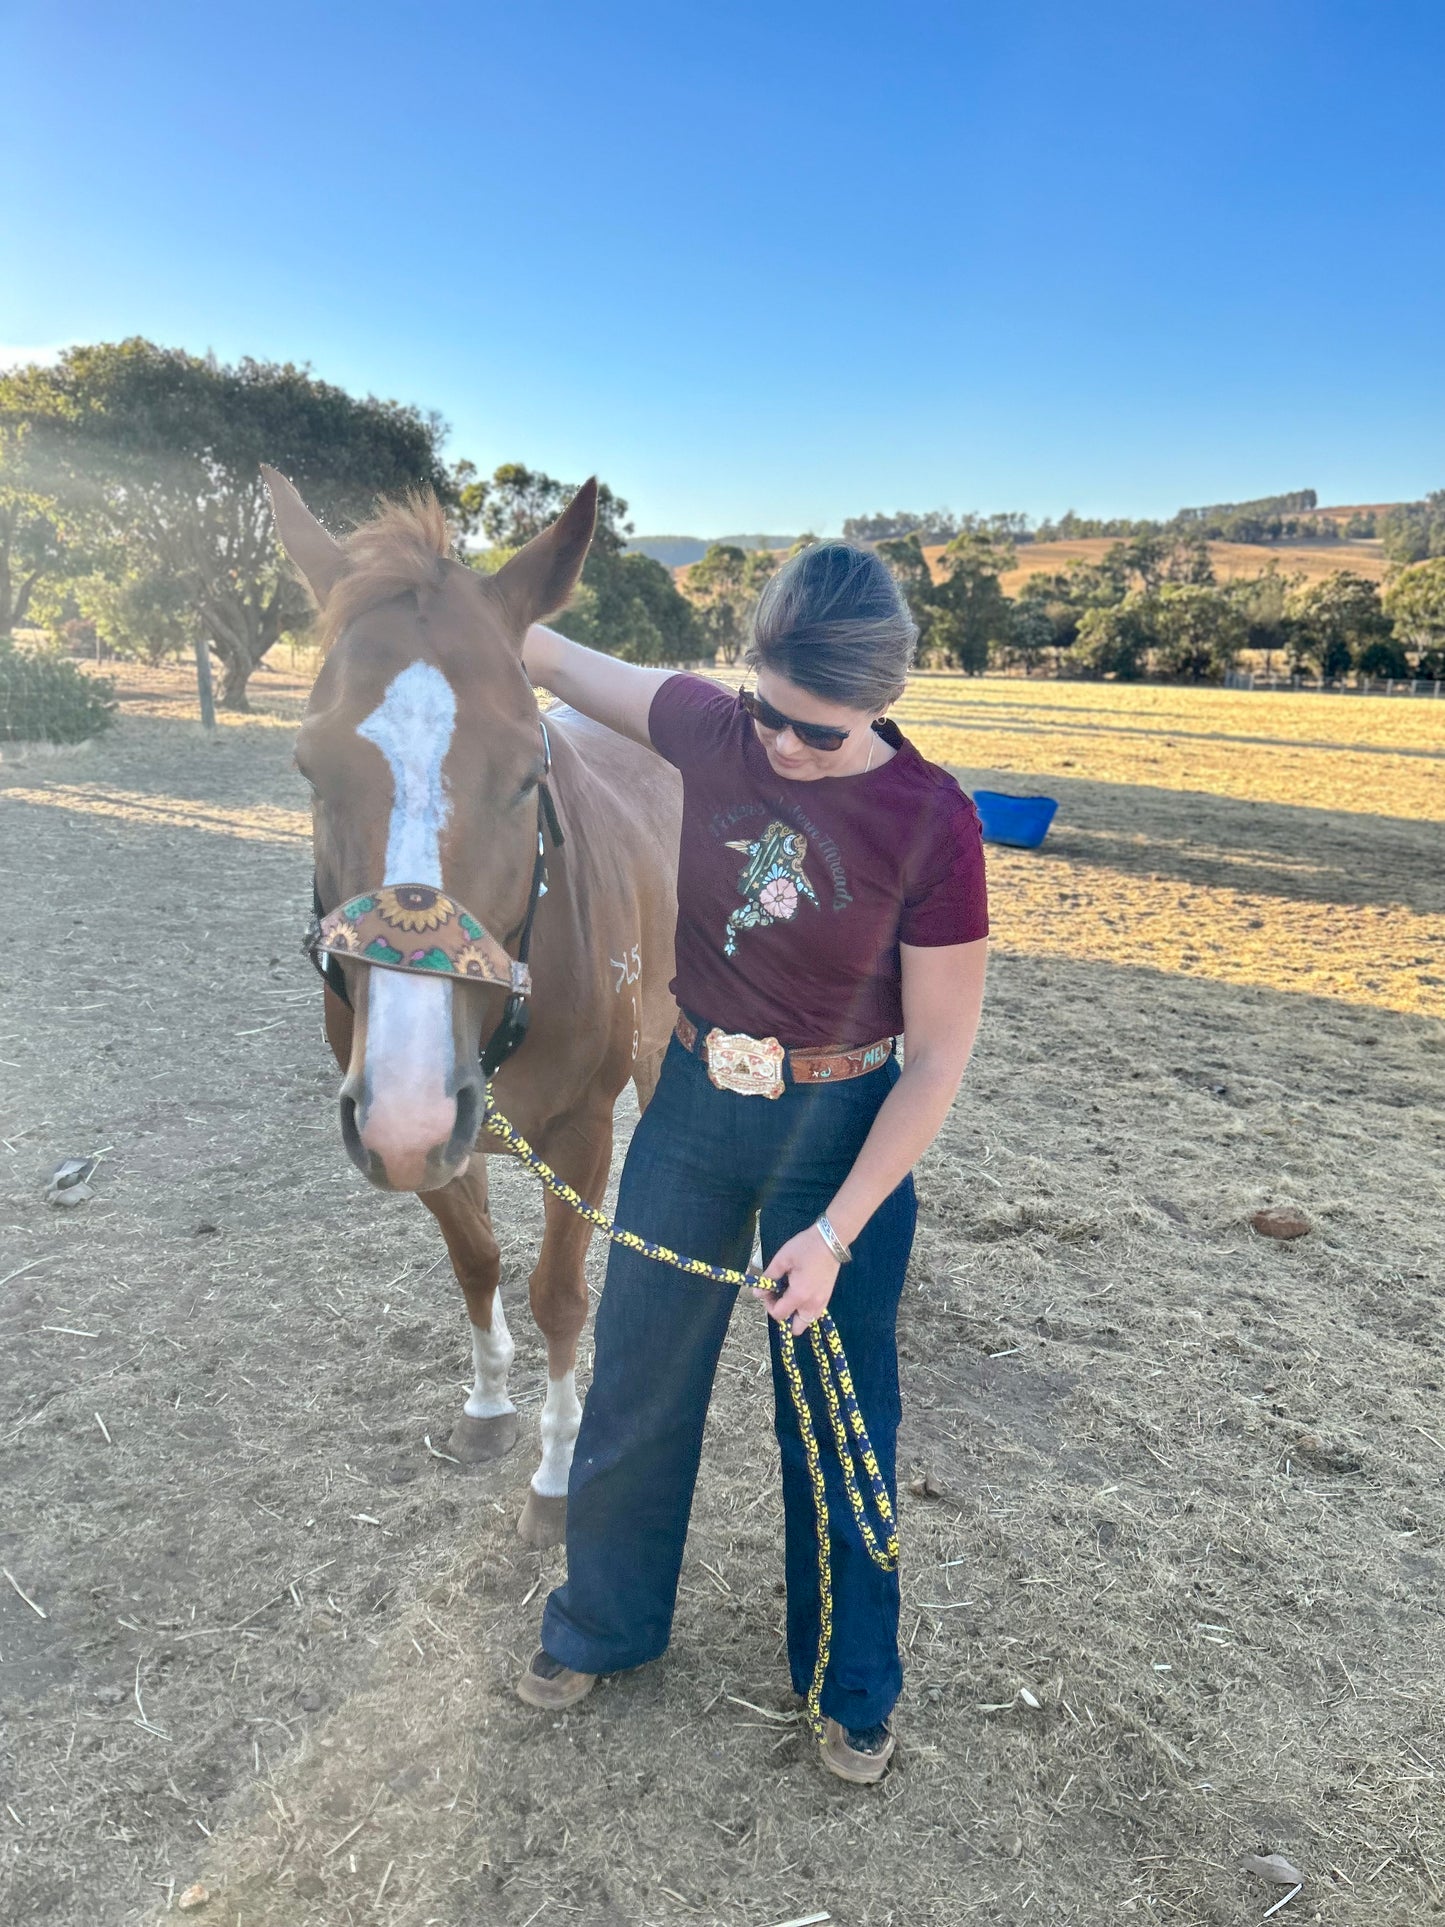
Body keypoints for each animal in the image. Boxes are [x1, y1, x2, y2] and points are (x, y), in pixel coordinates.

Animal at [263, 470, 682, 1549]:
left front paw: (558, 1471)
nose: (409, 1104)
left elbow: (557, 1295)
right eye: (308, 767)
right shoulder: (427, 1135)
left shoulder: (576, 1135)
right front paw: (491, 1405)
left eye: (530, 769)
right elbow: (479, 1263)